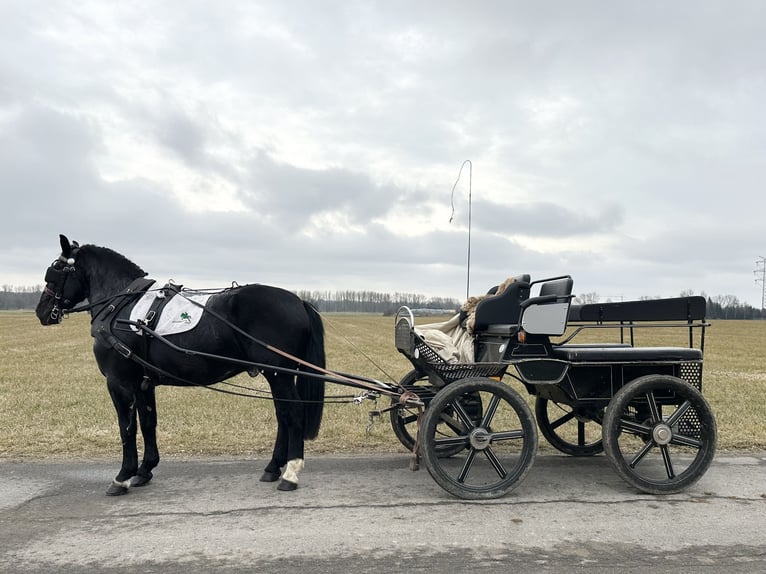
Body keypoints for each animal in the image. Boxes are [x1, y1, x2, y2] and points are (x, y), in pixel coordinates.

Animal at [36, 234, 324, 496]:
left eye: (56, 270)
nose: (42, 311)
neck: (121, 307)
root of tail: (299, 301)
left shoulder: (118, 382)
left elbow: (126, 428)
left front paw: (122, 477)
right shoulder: (143, 384)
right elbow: (148, 422)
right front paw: (144, 471)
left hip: (279, 375)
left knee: (293, 413)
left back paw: (290, 473)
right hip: (277, 375)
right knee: (283, 415)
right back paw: (273, 467)